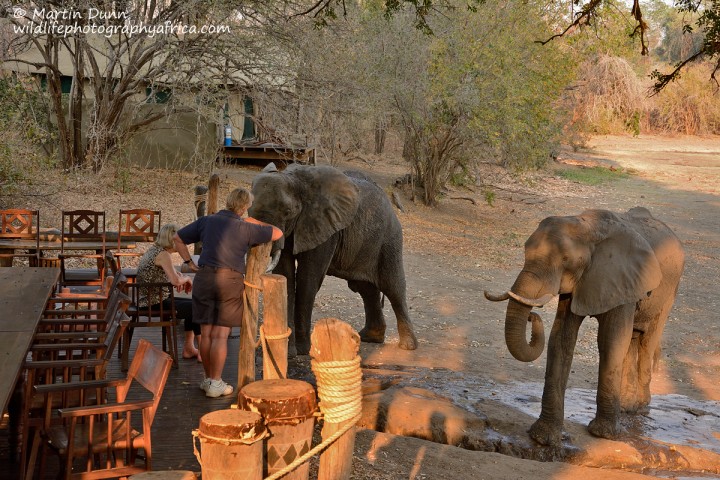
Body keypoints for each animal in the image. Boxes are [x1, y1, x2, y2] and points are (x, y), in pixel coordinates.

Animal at [249, 163, 420, 354]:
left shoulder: (325, 227)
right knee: (366, 289)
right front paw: (290, 352)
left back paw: (407, 346)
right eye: (248, 210)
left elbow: (307, 279)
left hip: (390, 239)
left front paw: (303, 350)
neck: (294, 180)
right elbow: (286, 276)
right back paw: (369, 337)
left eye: (287, 212)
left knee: (393, 286)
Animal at [486, 207, 684, 446]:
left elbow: (611, 341)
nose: (532, 316)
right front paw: (543, 438)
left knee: (647, 340)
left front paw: (603, 435)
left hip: (669, 291)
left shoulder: (621, 277)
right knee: (633, 339)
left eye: (565, 259)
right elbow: (561, 339)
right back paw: (626, 408)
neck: (587, 226)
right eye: (525, 250)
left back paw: (640, 408)